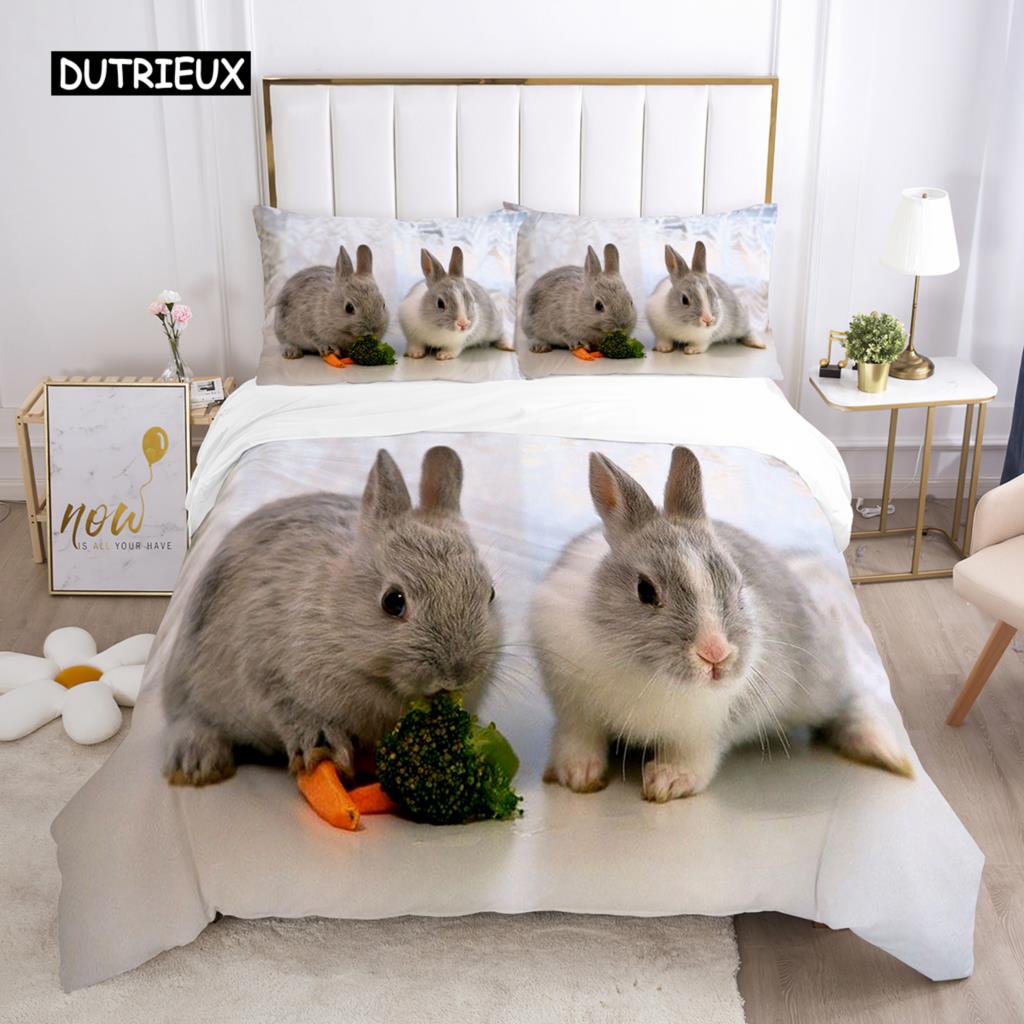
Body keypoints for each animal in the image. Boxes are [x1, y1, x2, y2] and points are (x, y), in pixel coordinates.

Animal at [162, 446, 501, 787]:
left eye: (491, 594)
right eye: (393, 601)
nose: (456, 676)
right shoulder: (265, 668)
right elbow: (291, 709)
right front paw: (323, 747)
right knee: (190, 719)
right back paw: (198, 765)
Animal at [532, 446, 912, 803]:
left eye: (738, 582)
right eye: (645, 590)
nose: (715, 655)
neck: (644, 673)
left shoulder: (702, 730)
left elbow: (693, 757)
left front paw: (669, 781)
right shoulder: (575, 710)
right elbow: (579, 739)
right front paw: (577, 775)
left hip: (820, 681)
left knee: (850, 703)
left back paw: (883, 751)